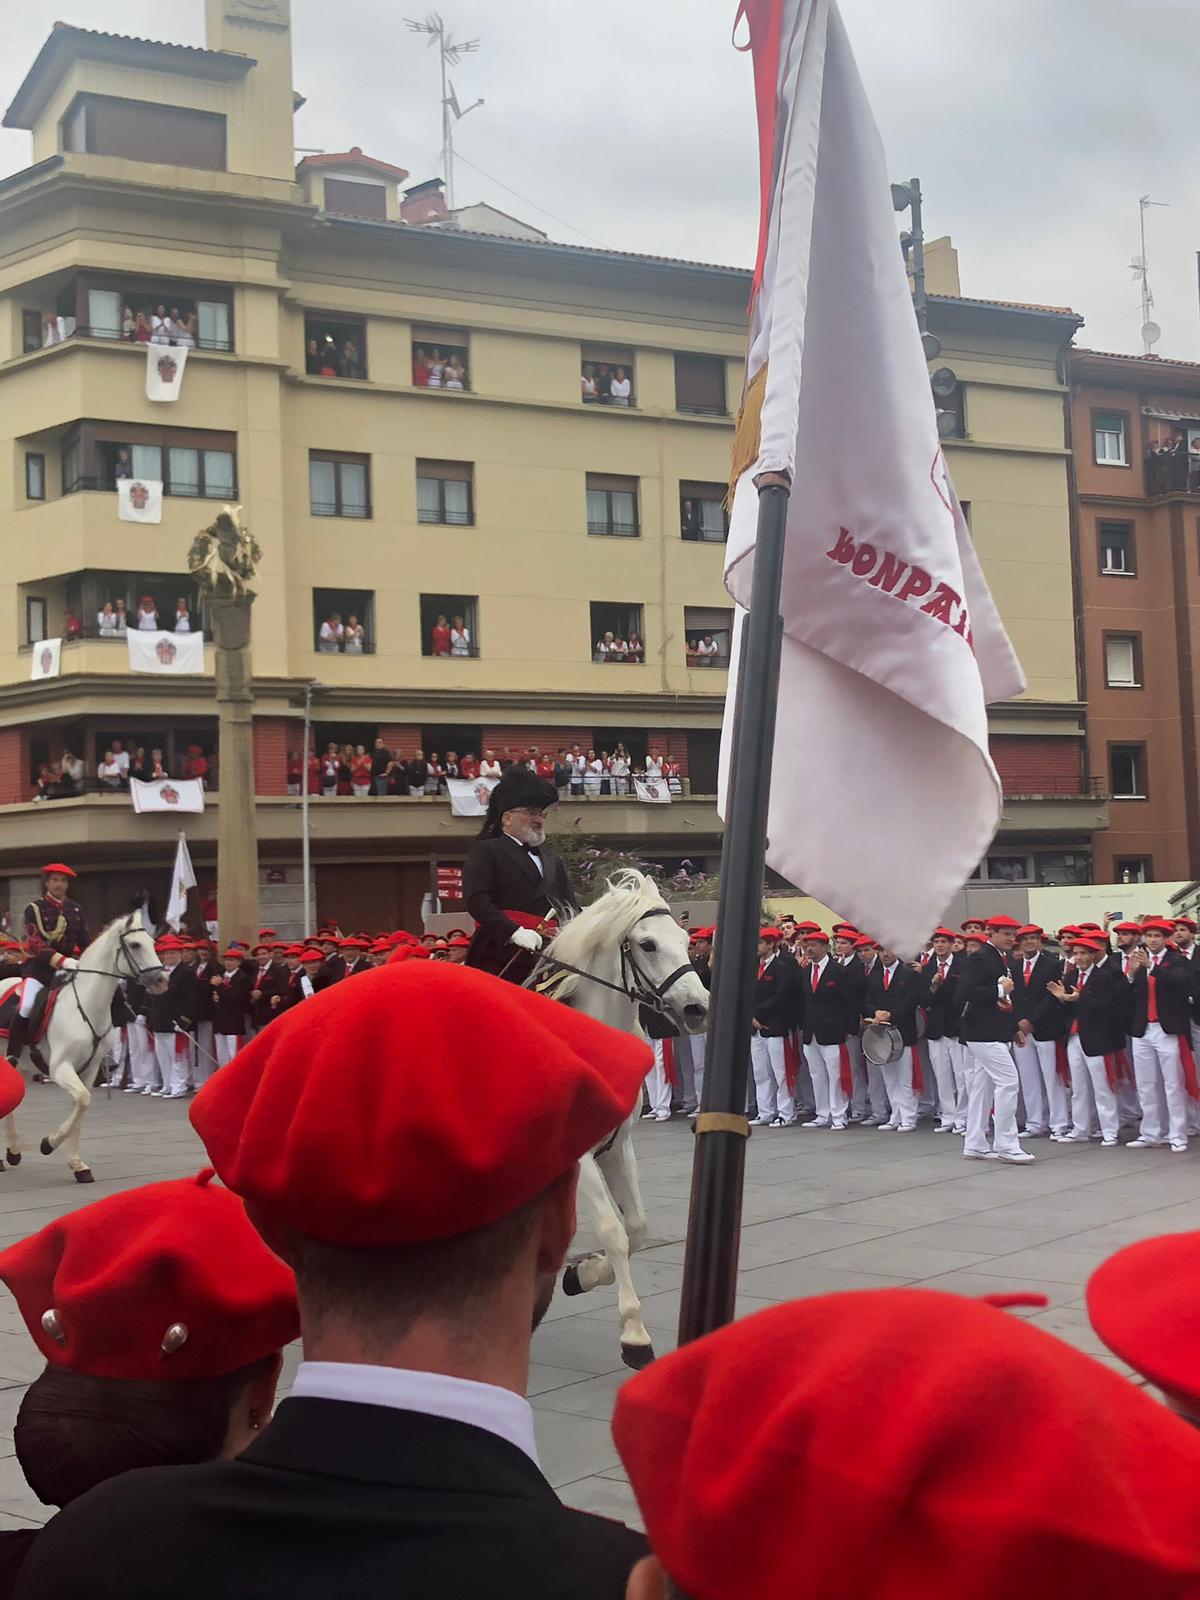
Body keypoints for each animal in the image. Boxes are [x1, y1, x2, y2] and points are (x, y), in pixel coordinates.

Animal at [0, 910, 167, 1183]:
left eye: (152, 943)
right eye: (135, 945)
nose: (162, 981)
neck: (87, 1005)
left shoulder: (89, 1070)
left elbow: (82, 1106)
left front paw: (78, 1166)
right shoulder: (60, 1067)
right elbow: (82, 1099)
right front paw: (49, 1143)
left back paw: (13, 1152)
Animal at [533, 869, 709, 1369]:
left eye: (686, 940)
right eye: (647, 944)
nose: (697, 1008)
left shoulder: (618, 1147)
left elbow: (636, 1228)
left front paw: (583, 1274)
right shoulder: (577, 1156)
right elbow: (613, 1230)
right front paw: (634, 1334)